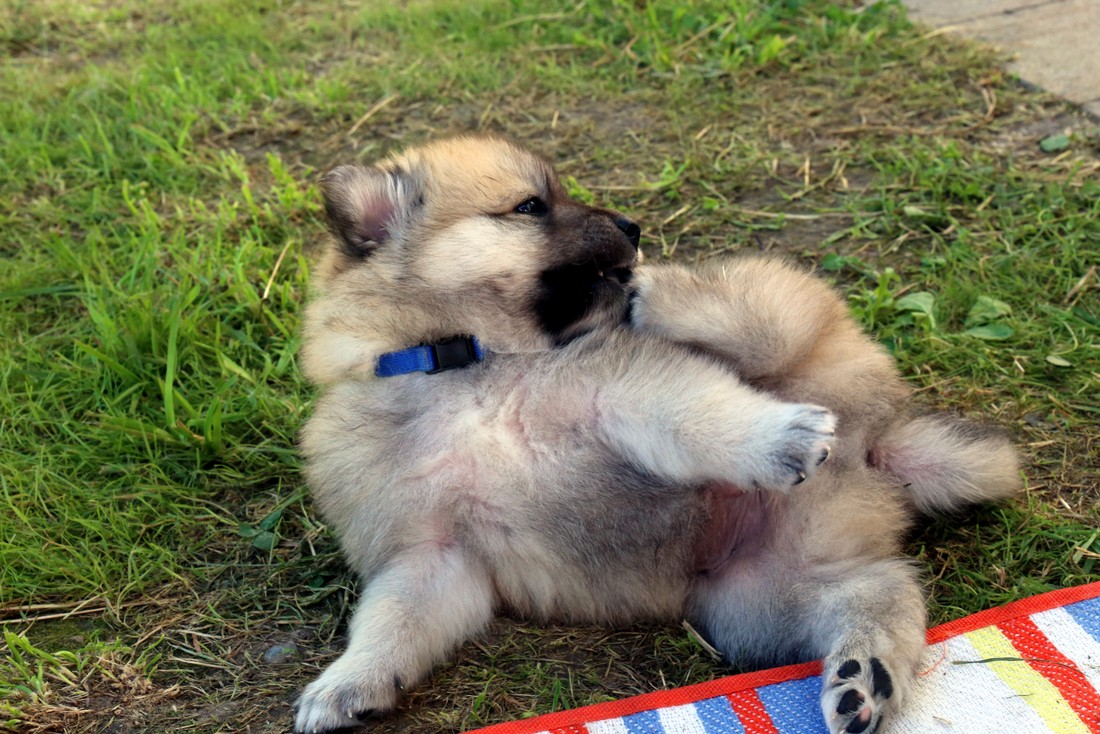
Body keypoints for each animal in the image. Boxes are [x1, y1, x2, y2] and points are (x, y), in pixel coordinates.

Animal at [292, 135, 1020, 734]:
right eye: (530, 206)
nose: (632, 228)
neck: (466, 369)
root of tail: (875, 448)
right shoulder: (433, 553)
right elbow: (392, 622)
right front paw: (348, 684)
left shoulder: (625, 390)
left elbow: (705, 418)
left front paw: (778, 439)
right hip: (769, 592)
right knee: (881, 591)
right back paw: (864, 679)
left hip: (791, 332)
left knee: (753, 322)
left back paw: (659, 295)